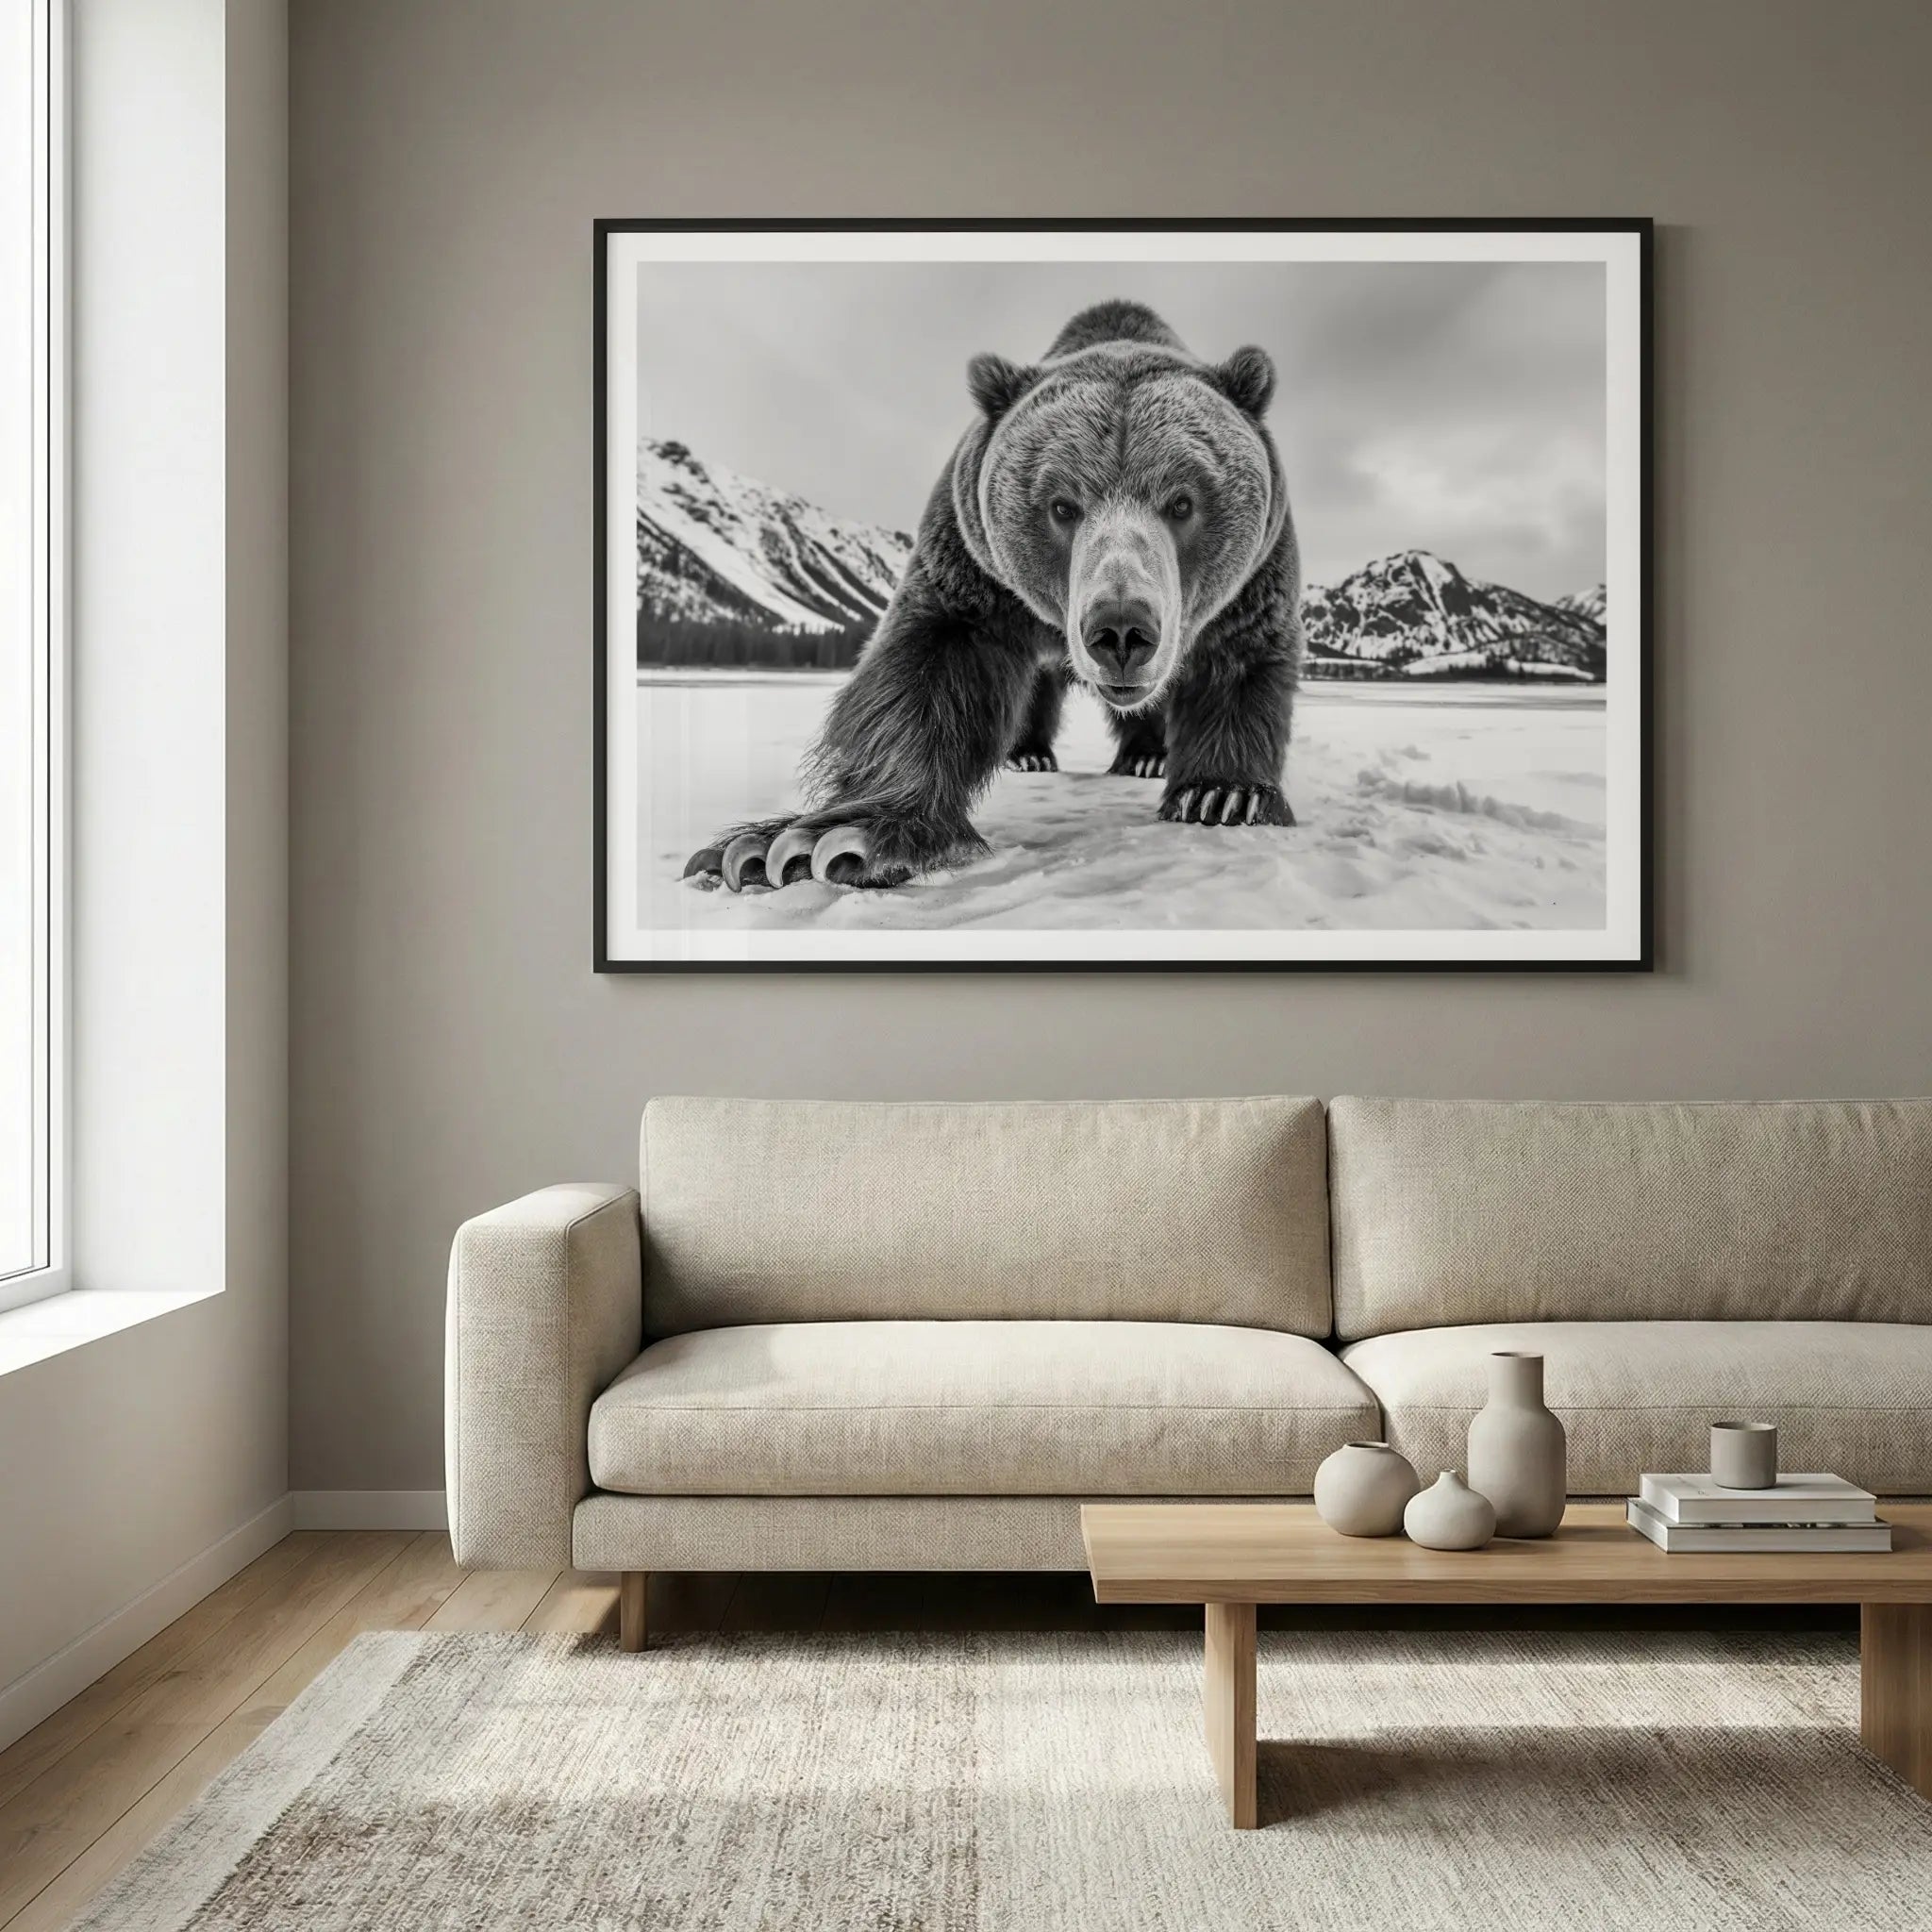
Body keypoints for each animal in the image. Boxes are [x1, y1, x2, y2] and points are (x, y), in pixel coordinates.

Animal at [684, 298, 1302, 893]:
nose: (1122, 628)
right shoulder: (974, 573)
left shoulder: (1250, 585)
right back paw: (1029, 753)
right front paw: (800, 846)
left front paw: (1222, 795)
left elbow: (1237, 667)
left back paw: (1148, 758)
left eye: (1182, 501)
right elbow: (930, 672)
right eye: (1061, 505)